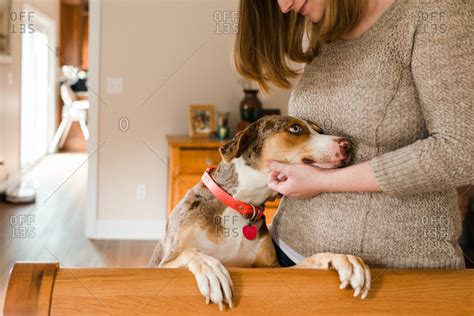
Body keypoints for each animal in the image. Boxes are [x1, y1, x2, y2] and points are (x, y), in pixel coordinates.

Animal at [150, 116, 372, 312]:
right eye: (295, 128)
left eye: (320, 130)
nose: (347, 144)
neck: (242, 203)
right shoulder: (164, 264)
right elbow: (190, 253)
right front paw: (210, 267)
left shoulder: (273, 269)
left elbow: (311, 260)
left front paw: (340, 258)